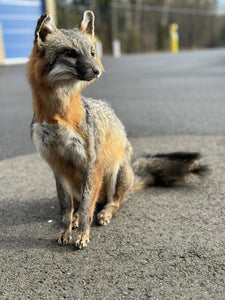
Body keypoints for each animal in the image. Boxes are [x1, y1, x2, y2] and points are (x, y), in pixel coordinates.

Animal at [27, 10, 208, 250]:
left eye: (92, 52)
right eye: (70, 53)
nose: (97, 71)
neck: (59, 117)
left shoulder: (91, 163)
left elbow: (87, 207)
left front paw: (83, 235)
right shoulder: (57, 164)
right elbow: (66, 207)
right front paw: (66, 230)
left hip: (113, 173)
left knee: (111, 202)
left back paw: (104, 213)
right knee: (83, 204)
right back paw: (78, 219)